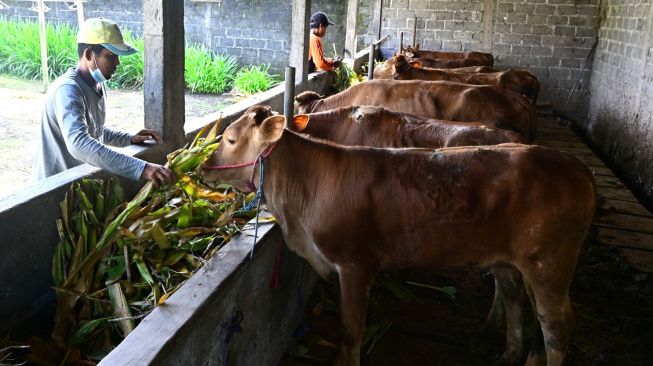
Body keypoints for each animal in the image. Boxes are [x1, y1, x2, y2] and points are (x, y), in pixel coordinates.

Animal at [199, 105, 596, 366]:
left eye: (230, 138)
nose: (202, 167)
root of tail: (574, 166)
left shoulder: (356, 264)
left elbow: (351, 329)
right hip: (508, 260)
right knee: (516, 301)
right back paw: (511, 353)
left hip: (549, 265)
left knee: (556, 327)